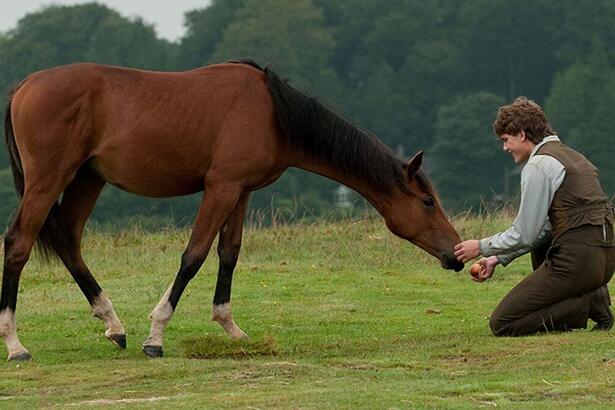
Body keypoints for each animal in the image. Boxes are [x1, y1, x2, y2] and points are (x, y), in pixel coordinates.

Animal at [0, 59, 462, 360]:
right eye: (427, 202)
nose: (456, 255)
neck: (272, 113)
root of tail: (24, 86)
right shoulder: (220, 188)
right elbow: (194, 255)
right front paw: (157, 334)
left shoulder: (241, 192)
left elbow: (229, 253)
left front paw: (229, 326)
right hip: (49, 180)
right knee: (19, 244)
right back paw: (16, 344)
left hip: (86, 179)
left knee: (69, 243)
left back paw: (113, 324)